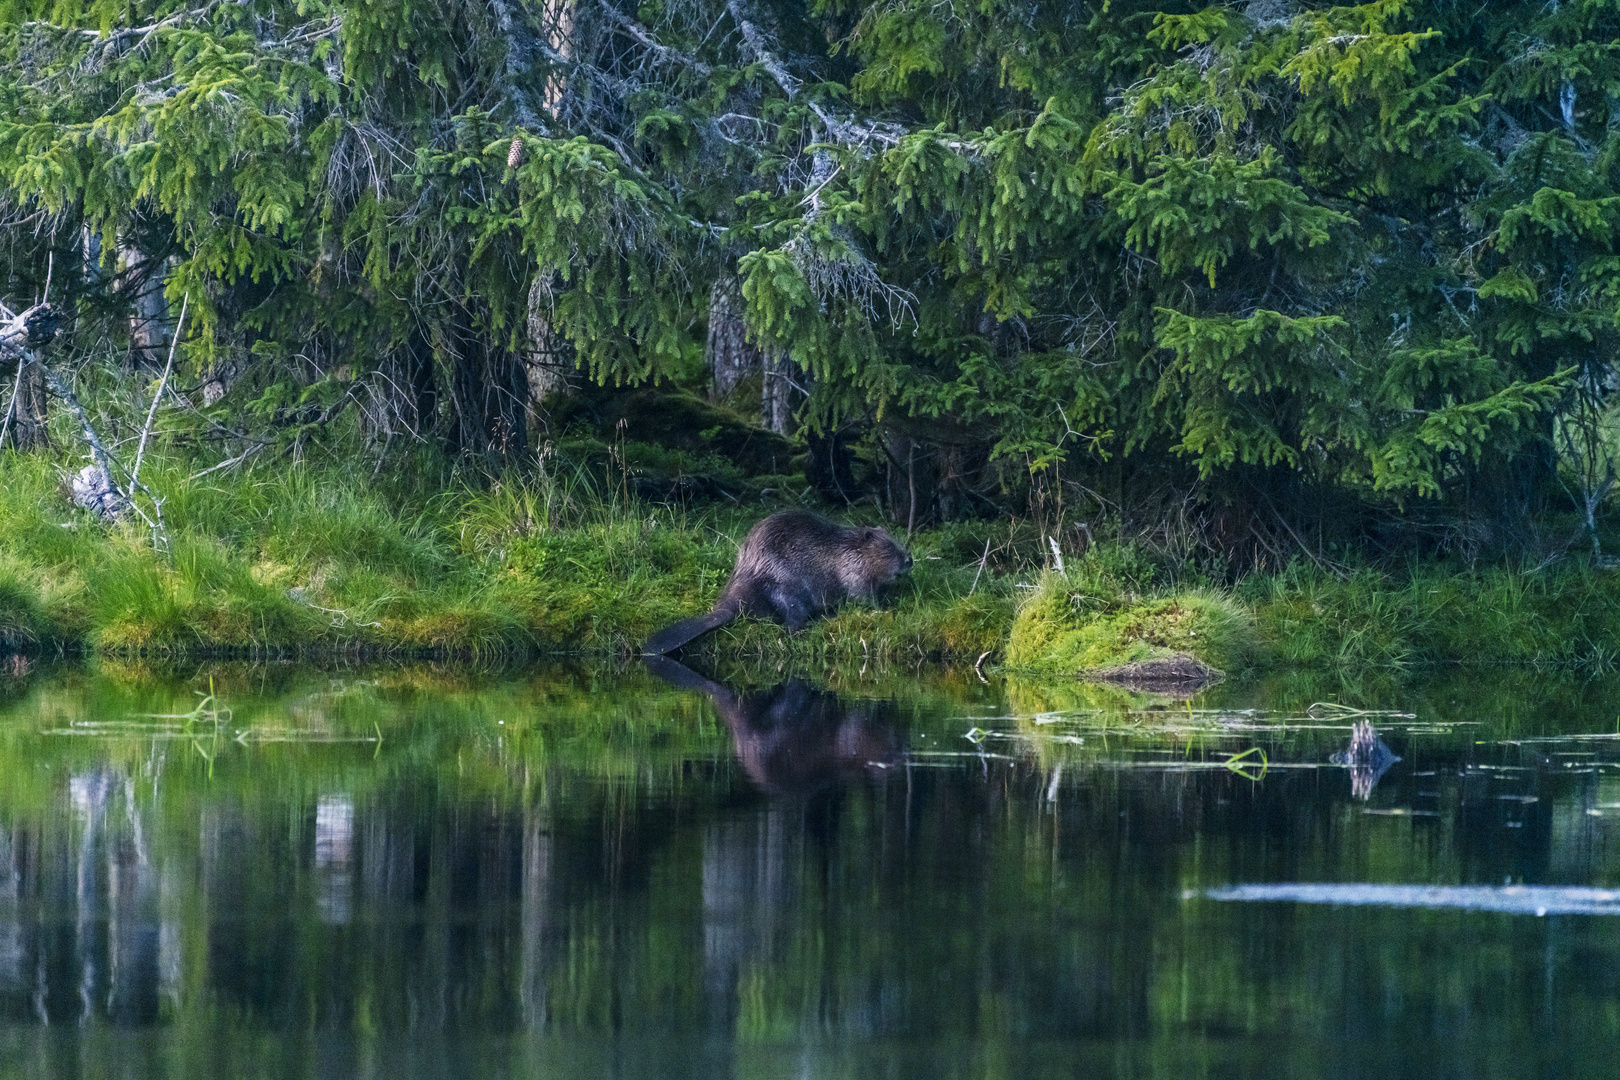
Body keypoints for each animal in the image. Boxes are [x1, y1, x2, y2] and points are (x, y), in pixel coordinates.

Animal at [641, 511, 913, 654]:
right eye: (890, 547)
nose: (910, 560)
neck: (846, 549)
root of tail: (728, 605)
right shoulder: (852, 571)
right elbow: (862, 596)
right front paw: (885, 608)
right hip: (785, 587)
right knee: (791, 620)